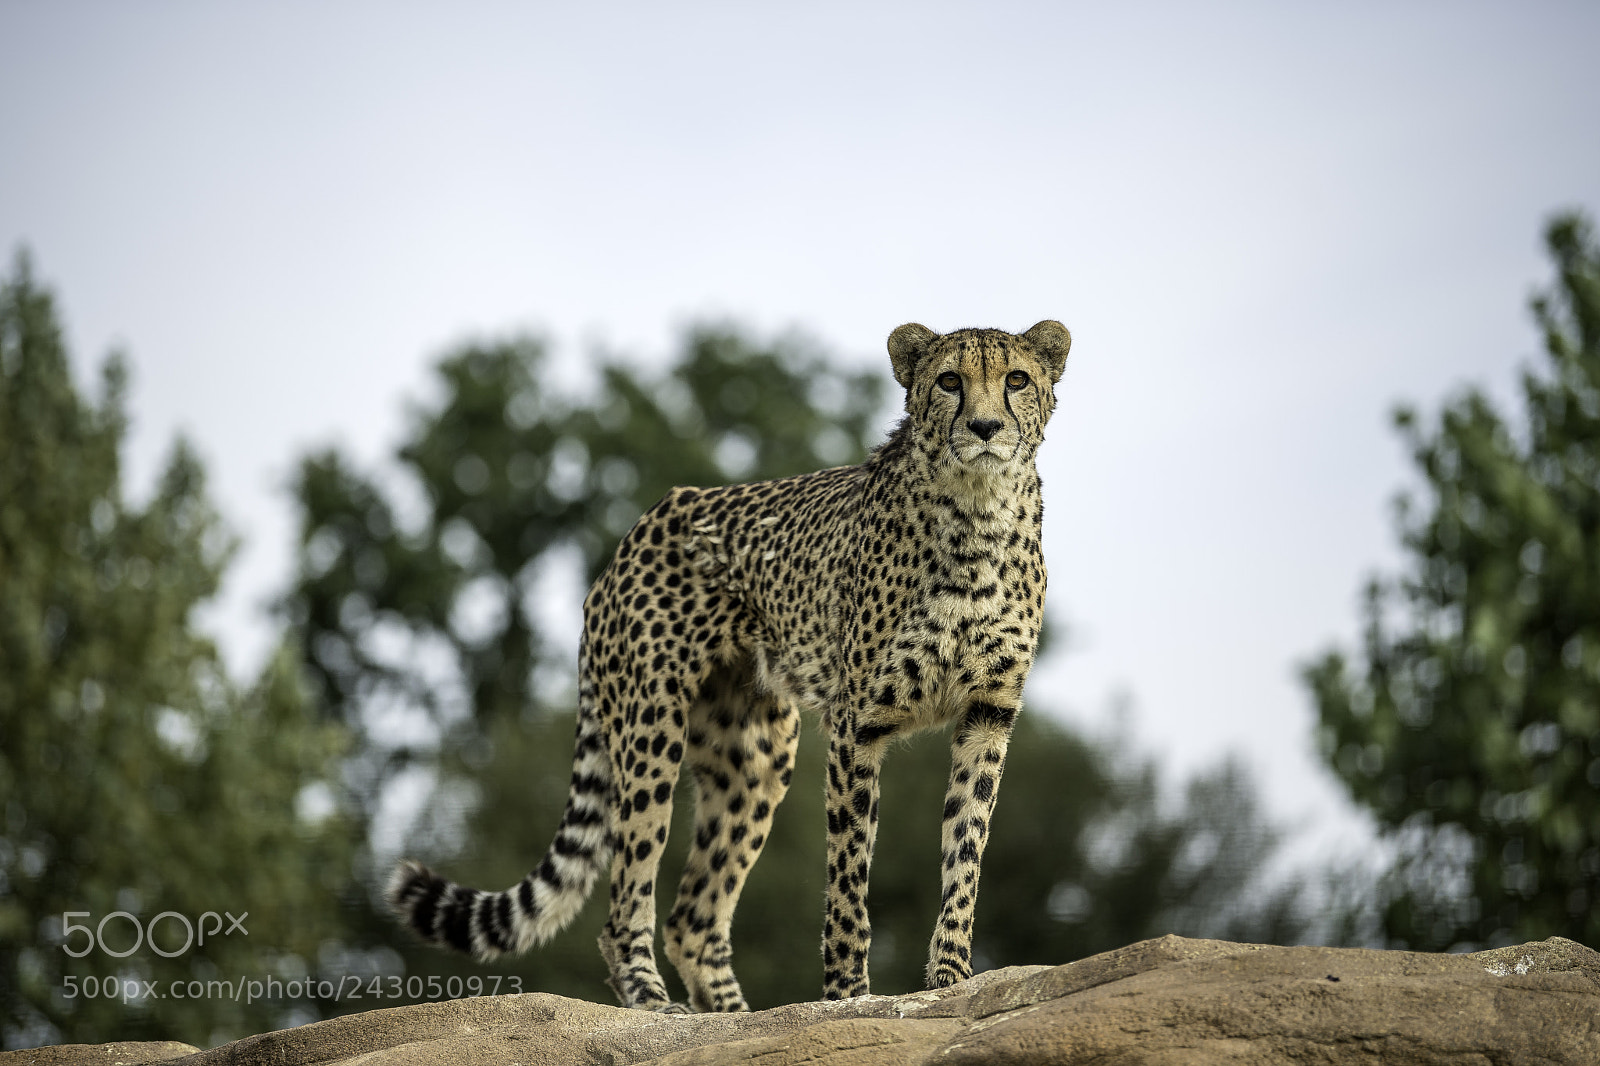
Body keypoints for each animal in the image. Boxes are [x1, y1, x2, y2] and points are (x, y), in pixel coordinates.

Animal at [388, 320, 1071, 1011]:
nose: (985, 427)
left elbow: (966, 850)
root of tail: (635, 532)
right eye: (949, 381)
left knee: (694, 916)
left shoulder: (987, 715)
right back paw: (653, 1004)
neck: (978, 513)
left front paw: (952, 975)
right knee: (628, 896)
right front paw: (847, 995)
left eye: (1016, 379)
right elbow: (849, 871)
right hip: (652, 726)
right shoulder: (857, 724)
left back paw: (733, 1016)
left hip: (755, 758)